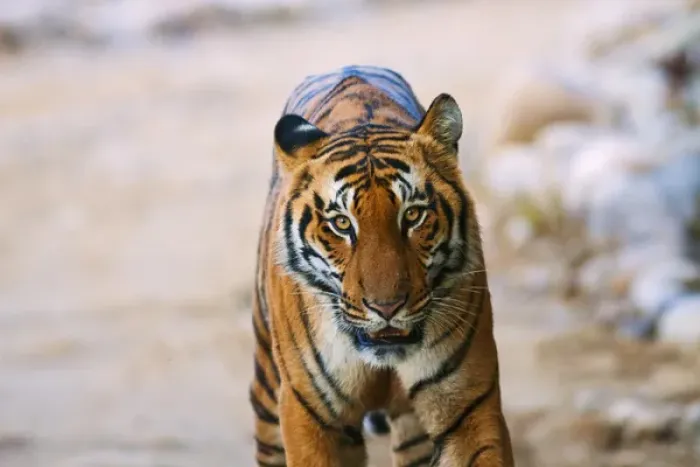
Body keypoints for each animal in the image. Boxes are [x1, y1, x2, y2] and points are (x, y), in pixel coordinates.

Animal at [250, 65, 513, 467]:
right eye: (342, 223)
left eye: (413, 215)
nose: (386, 307)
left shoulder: (469, 404)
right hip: (268, 392)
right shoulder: (310, 414)